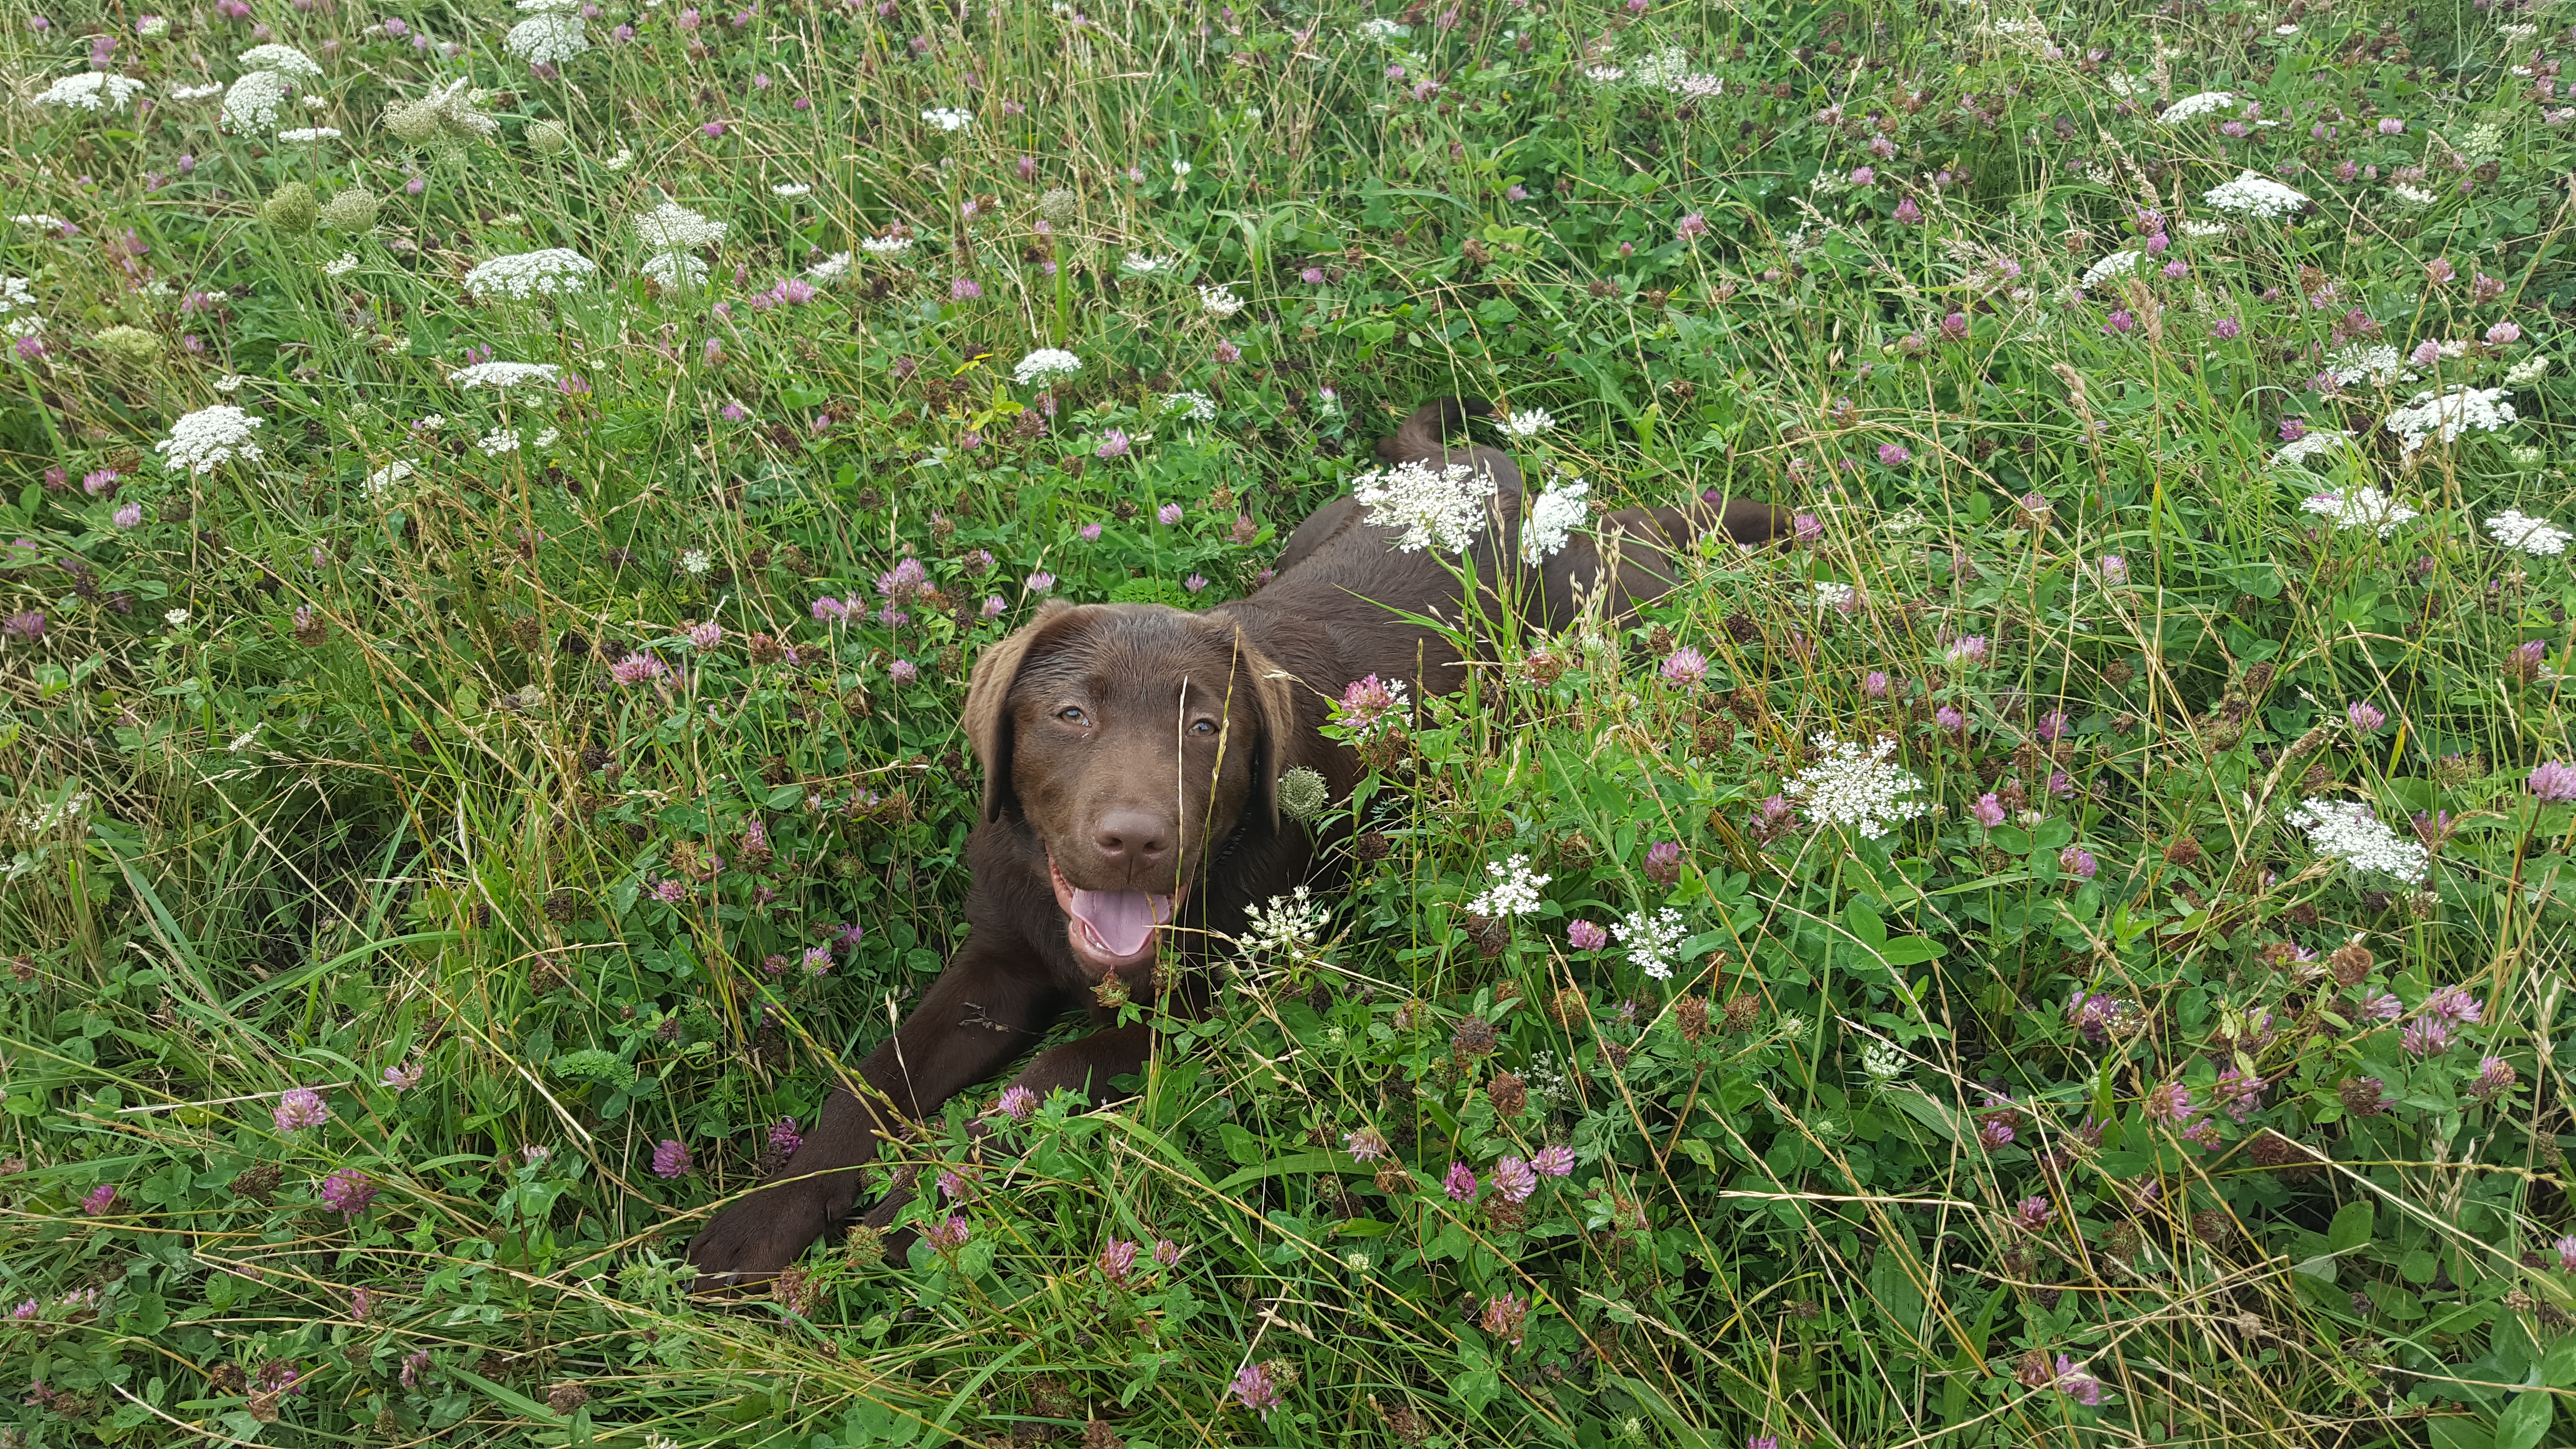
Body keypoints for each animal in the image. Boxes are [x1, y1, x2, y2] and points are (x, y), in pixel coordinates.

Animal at [675, 392, 1782, 1273]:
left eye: (1208, 730)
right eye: (1069, 716)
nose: (1133, 841)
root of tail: (1496, 474)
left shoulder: (1208, 1007)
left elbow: (1047, 1076)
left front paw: (922, 1201)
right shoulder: (994, 959)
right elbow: (874, 1080)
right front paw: (756, 1225)